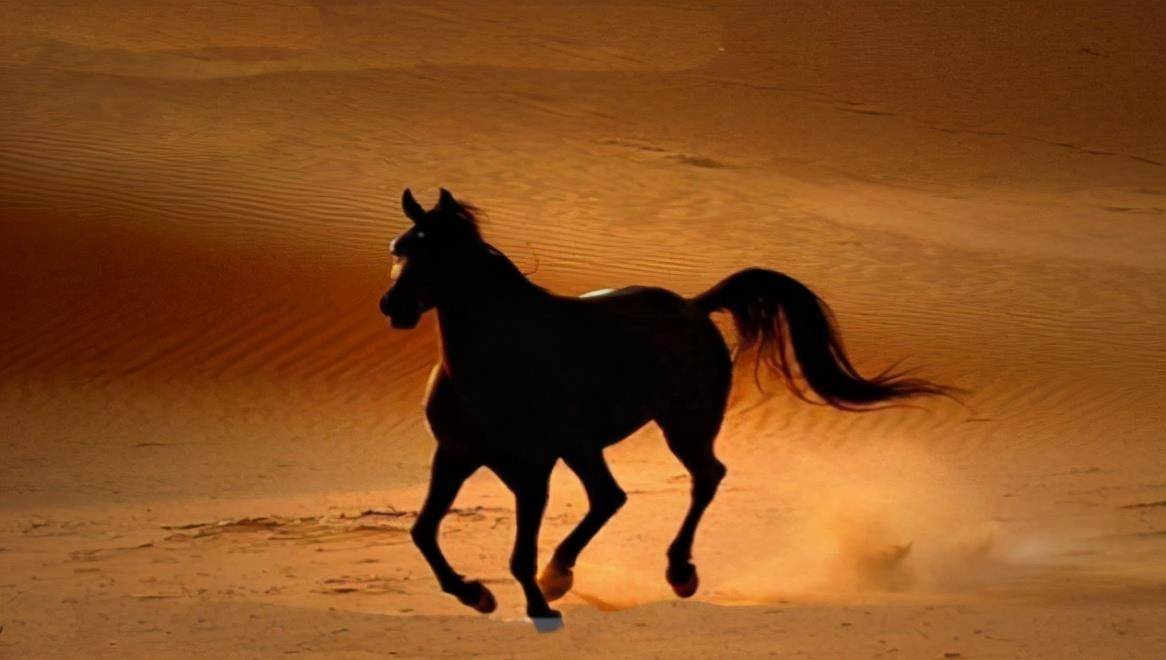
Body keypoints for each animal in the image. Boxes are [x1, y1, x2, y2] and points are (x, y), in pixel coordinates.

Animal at [379, 188, 952, 632]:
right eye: (399, 248)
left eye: (436, 252)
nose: (393, 307)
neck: (494, 359)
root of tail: (695, 307)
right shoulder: (455, 456)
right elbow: (423, 532)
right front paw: (477, 594)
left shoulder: (531, 469)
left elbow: (520, 553)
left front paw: (538, 605)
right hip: (587, 446)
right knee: (610, 497)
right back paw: (568, 575)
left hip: (679, 427)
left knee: (702, 477)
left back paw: (676, 574)